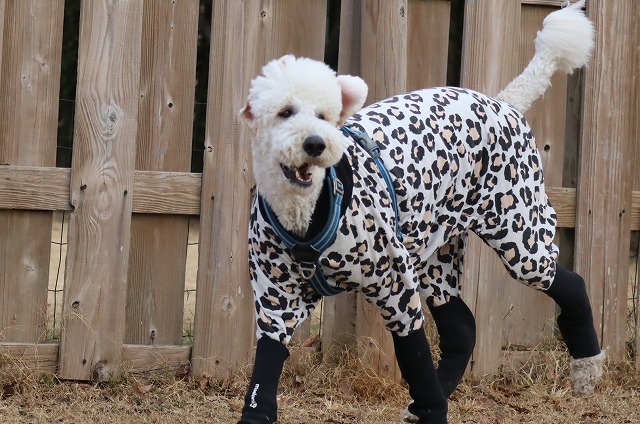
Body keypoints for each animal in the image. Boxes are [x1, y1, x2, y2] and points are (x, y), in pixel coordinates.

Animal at [238, 2, 603, 423]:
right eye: (285, 112)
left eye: (326, 116)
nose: (316, 143)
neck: (307, 215)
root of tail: (506, 102)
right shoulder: (275, 300)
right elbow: (267, 365)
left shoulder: (395, 286)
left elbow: (413, 352)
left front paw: (432, 407)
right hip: (435, 252)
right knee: (462, 327)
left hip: (520, 237)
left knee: (571, 282)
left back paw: (588, 365)